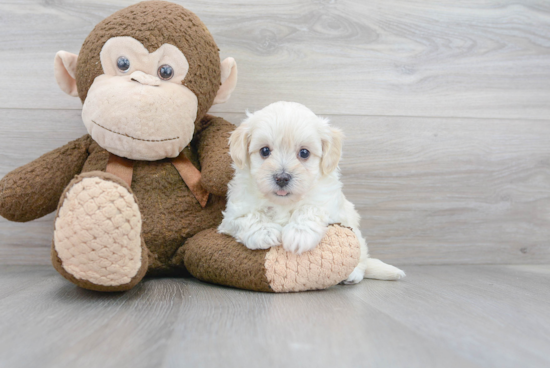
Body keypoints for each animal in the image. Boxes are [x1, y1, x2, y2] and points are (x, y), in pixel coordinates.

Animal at [219, 100, 406, 282]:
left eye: (304, 153)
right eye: (265, 151)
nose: (282, 178)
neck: (283, 203)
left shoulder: (328, 204)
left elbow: (310, 208)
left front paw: (299, 233)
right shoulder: (232, 215)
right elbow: (248, 216)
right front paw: (264, 231)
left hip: (354, 229)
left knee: (362, 254)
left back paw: (354, 274)